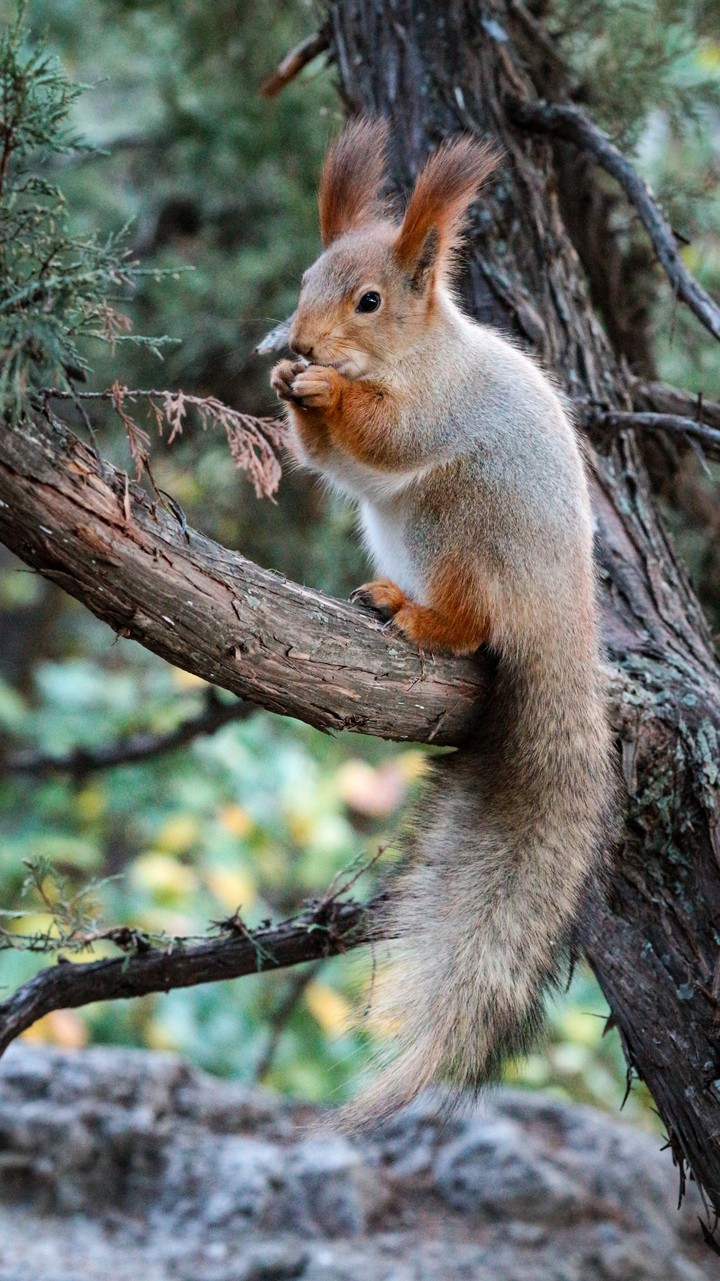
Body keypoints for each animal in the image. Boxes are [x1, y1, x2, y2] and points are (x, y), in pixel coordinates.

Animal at [270, 118, 615, 1121]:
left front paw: (326, 393)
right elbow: (328, 460)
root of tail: (563, 621)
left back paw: (419, 616)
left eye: (370, 300)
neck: (414, 355)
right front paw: (287, 382)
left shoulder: (435, 407)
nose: (298, 341)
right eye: (305, 280)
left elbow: (386, 436)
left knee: (471, 624)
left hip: (459, 519)